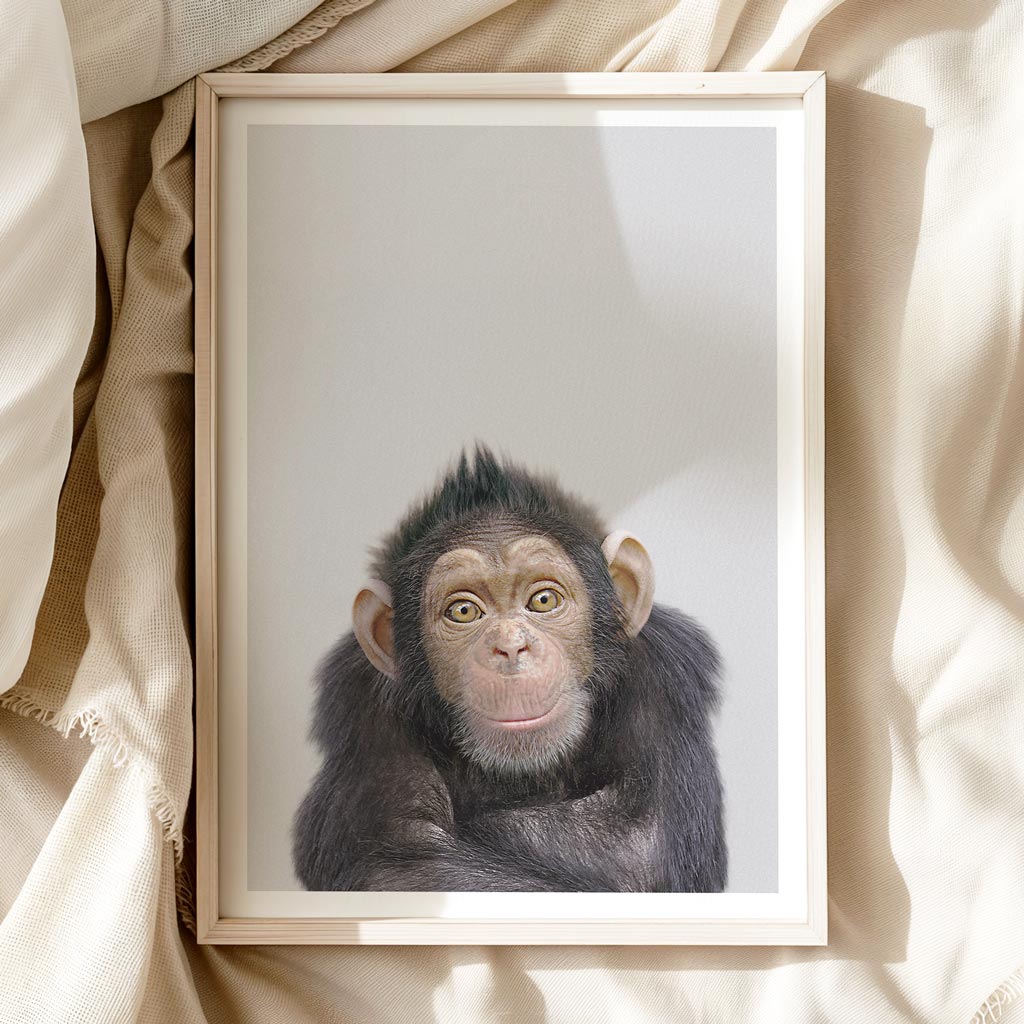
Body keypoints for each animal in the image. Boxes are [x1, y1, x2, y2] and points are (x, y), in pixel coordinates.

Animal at [292, 446, 726, 892]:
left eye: (544, 600)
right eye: (463, 611)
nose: (510, 645)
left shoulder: (663, 675)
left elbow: (638, 841)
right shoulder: (361, 705)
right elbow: (401, 863)